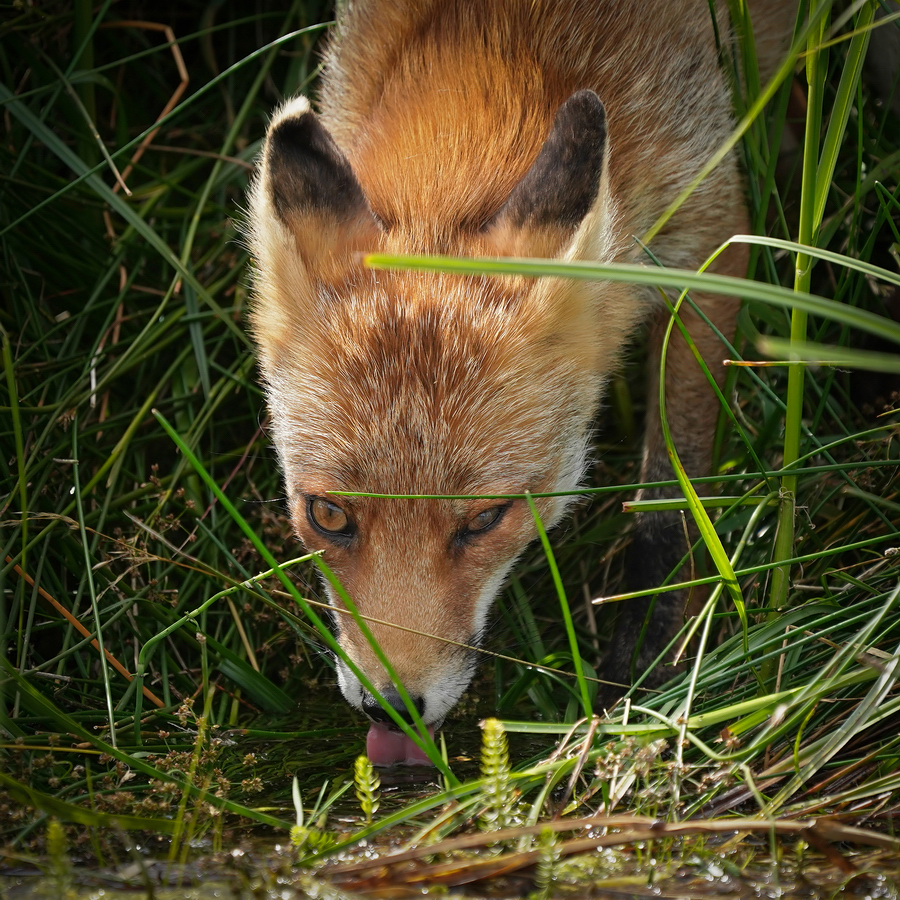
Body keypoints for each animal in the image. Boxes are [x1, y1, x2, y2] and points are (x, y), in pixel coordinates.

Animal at [246, 0, 796, 764]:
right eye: (328, 515)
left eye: (485, 519)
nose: (393, 712)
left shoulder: (713, 243)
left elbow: (669, 498)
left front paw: (645, 658)